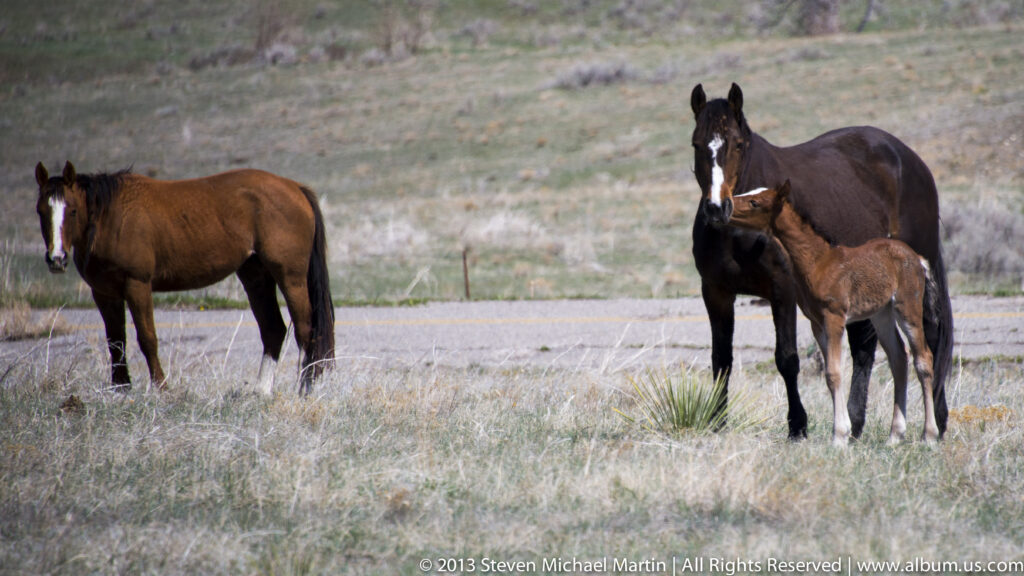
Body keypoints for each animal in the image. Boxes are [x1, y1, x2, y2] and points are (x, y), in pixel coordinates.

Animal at [34, 161, 335, 395]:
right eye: (41, 211)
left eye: (72, 209)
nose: (56, 258)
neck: (112, 218)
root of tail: (294, 187)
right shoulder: (104, 292)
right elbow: (116, 340)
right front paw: (121, 389)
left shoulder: (137, 285)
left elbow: (147, 338)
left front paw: (160, 388)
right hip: (255, 276)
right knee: (273, 329)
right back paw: (262, 390)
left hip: (290, 277)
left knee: (306, 329)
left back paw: (303, 388)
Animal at [729, 181, 939, 445]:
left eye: (755, 202)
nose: (724, 205)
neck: (818, 263)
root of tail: (917, 259)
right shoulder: (817, 323)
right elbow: (831, 374)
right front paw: (844, 432)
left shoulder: (835, 317)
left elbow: (834, 372)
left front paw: (839, 437)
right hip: (882, 314)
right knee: (899, 358)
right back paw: (894, 435)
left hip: (907, 308)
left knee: (924, 359)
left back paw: (929, 435)